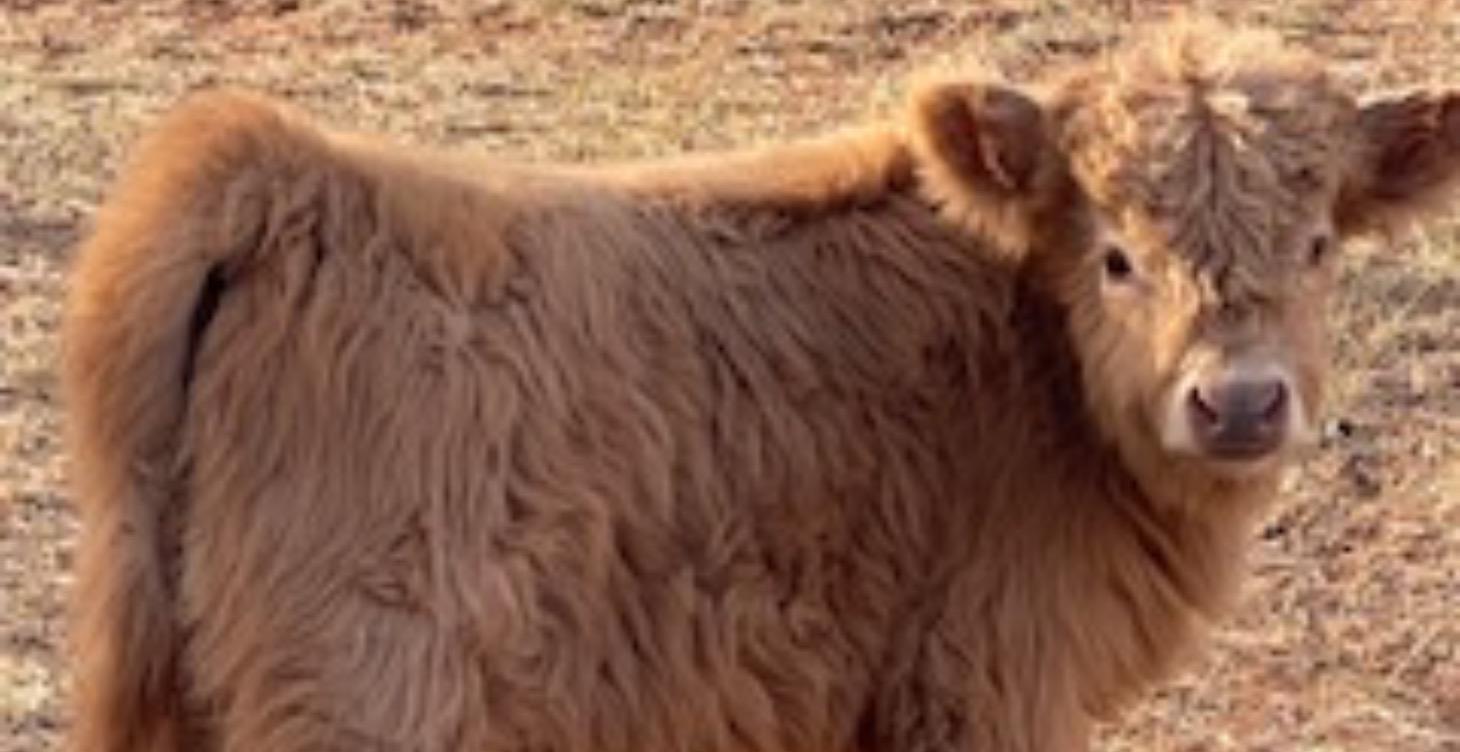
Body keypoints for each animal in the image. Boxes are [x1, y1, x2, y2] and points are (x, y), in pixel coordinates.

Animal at [62, 18, 1460, 752]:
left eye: (1317, 245)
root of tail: (278, 164)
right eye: (1115, 253)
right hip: (367, 686)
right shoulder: (979, 680)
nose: (1239, 401)